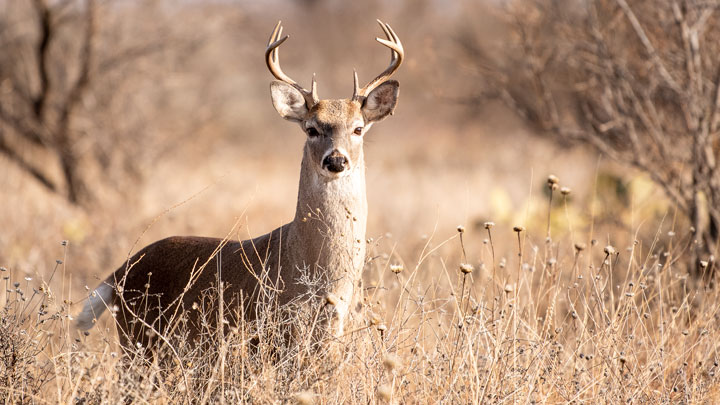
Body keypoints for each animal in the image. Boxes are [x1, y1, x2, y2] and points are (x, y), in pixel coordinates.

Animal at [77, 19, 404, 348]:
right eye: (311, 129)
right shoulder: (273, 329)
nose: (335, 160)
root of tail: (119, 273)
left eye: (358, 129)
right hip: (138, 338)